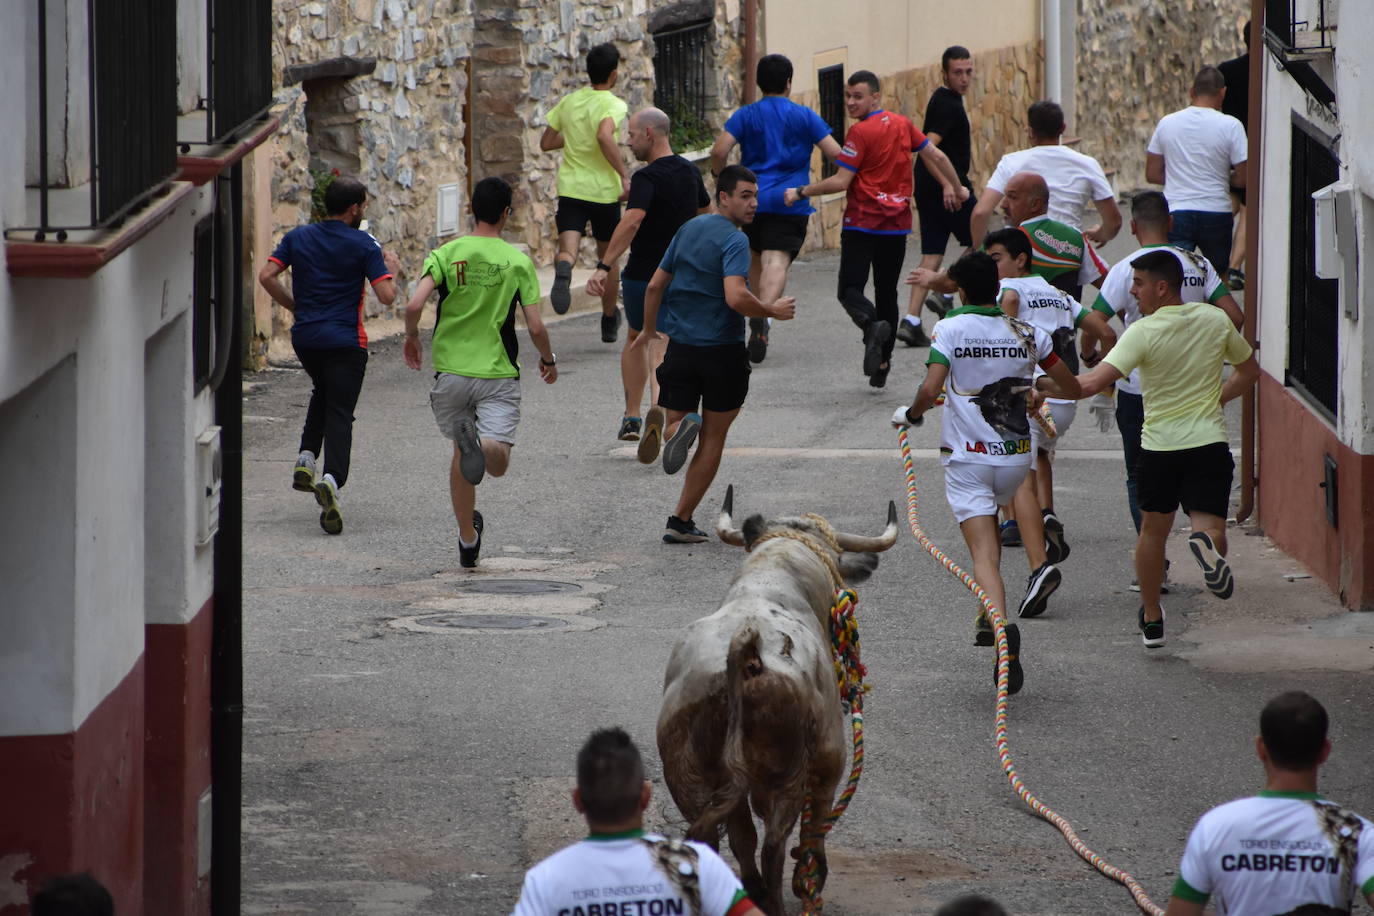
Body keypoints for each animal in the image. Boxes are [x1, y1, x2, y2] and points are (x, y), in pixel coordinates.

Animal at [656, 486, 901, 916]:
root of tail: (743, 653)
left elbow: (742, 837)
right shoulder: (828, 765)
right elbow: (812, 830)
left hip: (688, 777)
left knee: (719, 840)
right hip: (786, 777)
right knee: (773, 845)